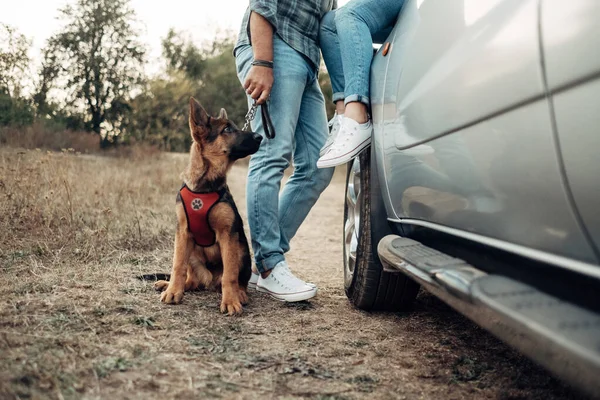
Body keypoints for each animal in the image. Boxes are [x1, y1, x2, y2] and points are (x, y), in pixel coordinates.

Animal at [154, 97, 262, 316]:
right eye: (227, 129)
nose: (260, 136)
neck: (204, 186)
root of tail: (210, 281)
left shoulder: (227, 235)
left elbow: (230, 275)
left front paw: (230, 301)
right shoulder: (182, 232)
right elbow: (177, 265)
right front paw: (173, 291)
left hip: (241, 251)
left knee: (237, 279)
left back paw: (239, 293)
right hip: (193, 253)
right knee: (191, 280)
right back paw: (170, 285)